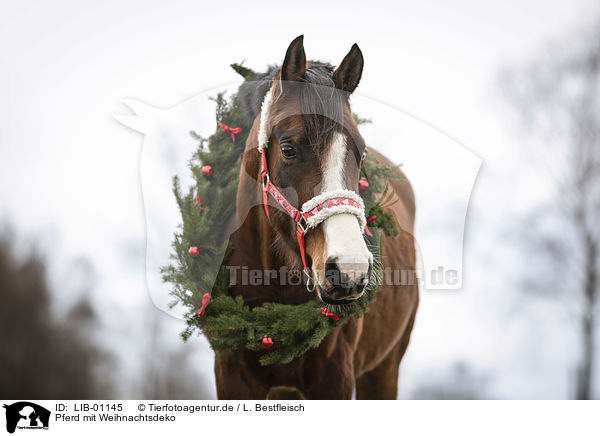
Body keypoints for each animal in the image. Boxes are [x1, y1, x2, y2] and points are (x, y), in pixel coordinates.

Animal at [218, 35, 420, 400]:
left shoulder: (334, 377)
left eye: (360, 150)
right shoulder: (230, 375)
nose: (349, 270)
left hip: (384, 368)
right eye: (287, 148)